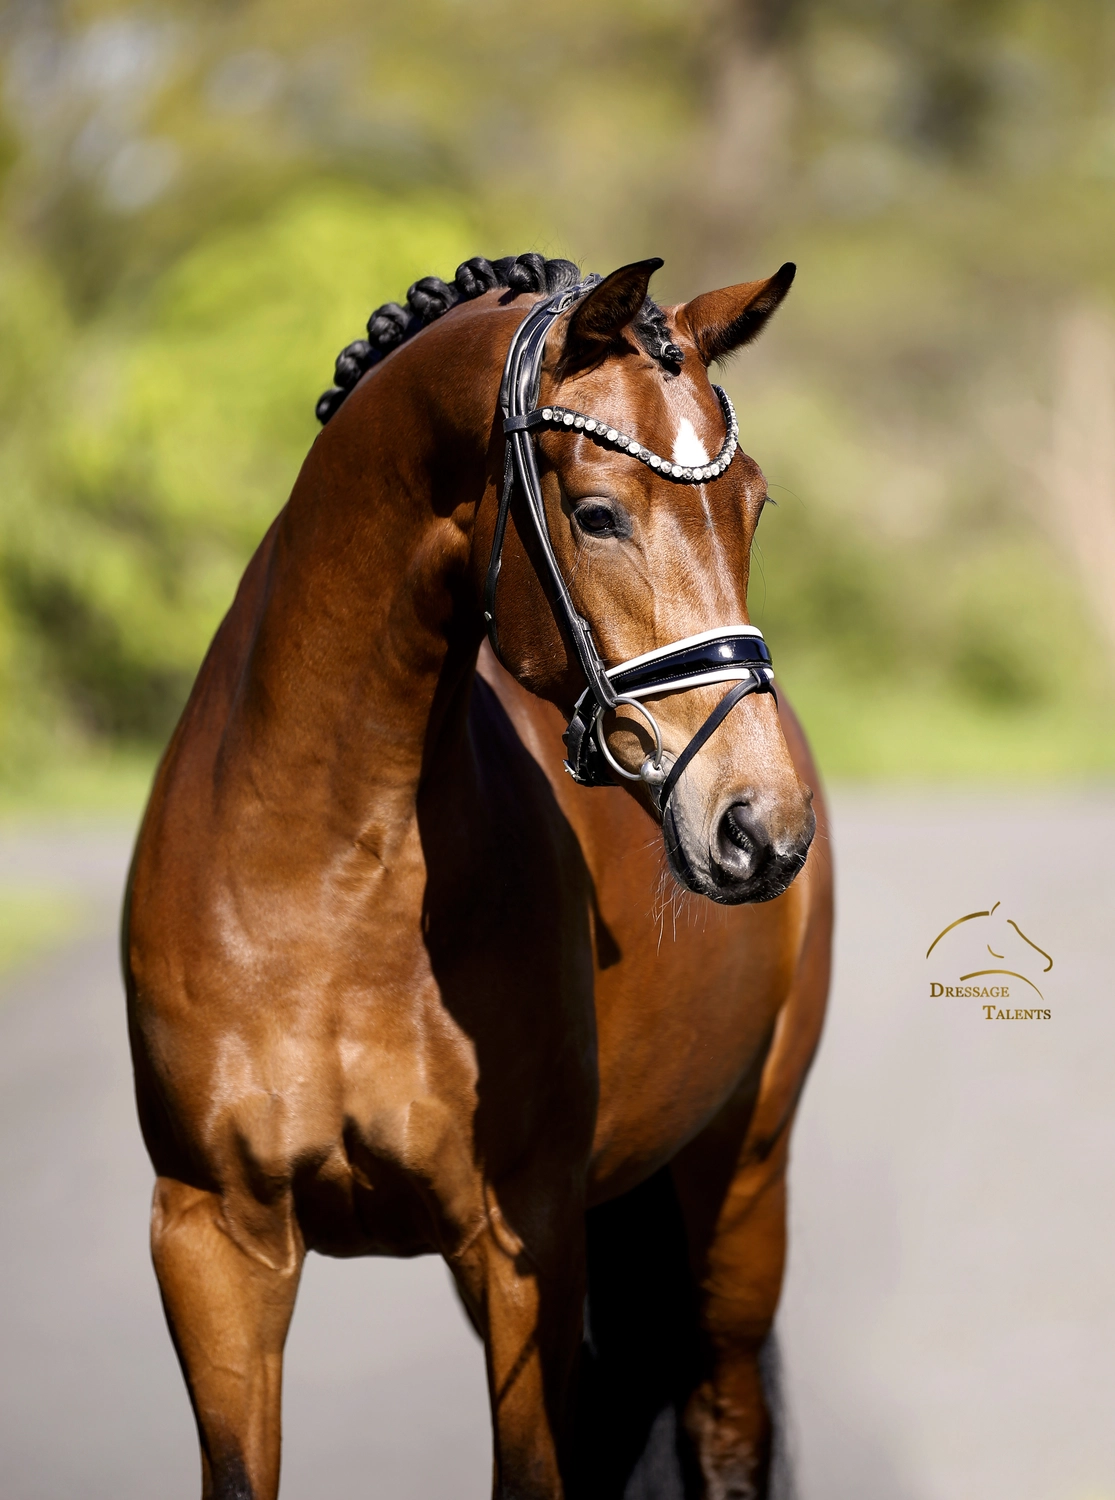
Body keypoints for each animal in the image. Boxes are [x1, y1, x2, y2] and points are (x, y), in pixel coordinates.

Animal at [123, 250, 833, 1500]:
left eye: (751, 507)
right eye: (596, 514)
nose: (760, 827)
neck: (323, 881)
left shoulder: (519, 1239)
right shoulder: (213, 1242)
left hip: (741, 1182)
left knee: (724, 1425)